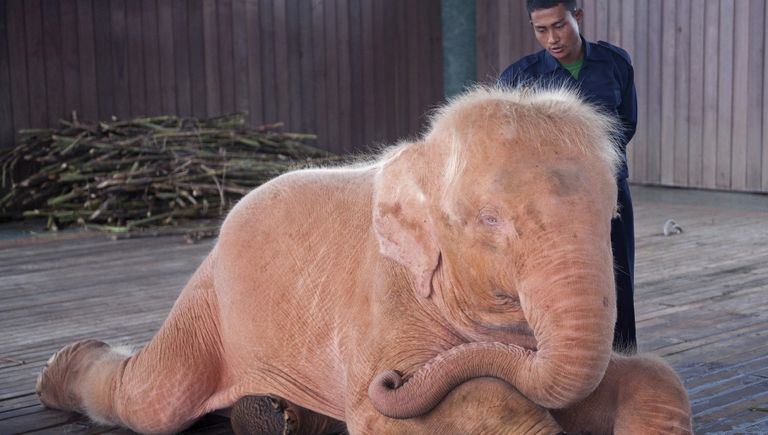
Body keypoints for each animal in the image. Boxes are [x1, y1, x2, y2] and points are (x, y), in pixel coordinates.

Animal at [36, 86, 692, 434]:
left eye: (612, 216)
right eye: (489, 221)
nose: (394, 377)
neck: (421, 157)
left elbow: (642, 376)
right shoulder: (382, 299)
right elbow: (403, 411)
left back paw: (275, 414)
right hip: (211, 301)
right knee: (154, 399)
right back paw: (59, 370)